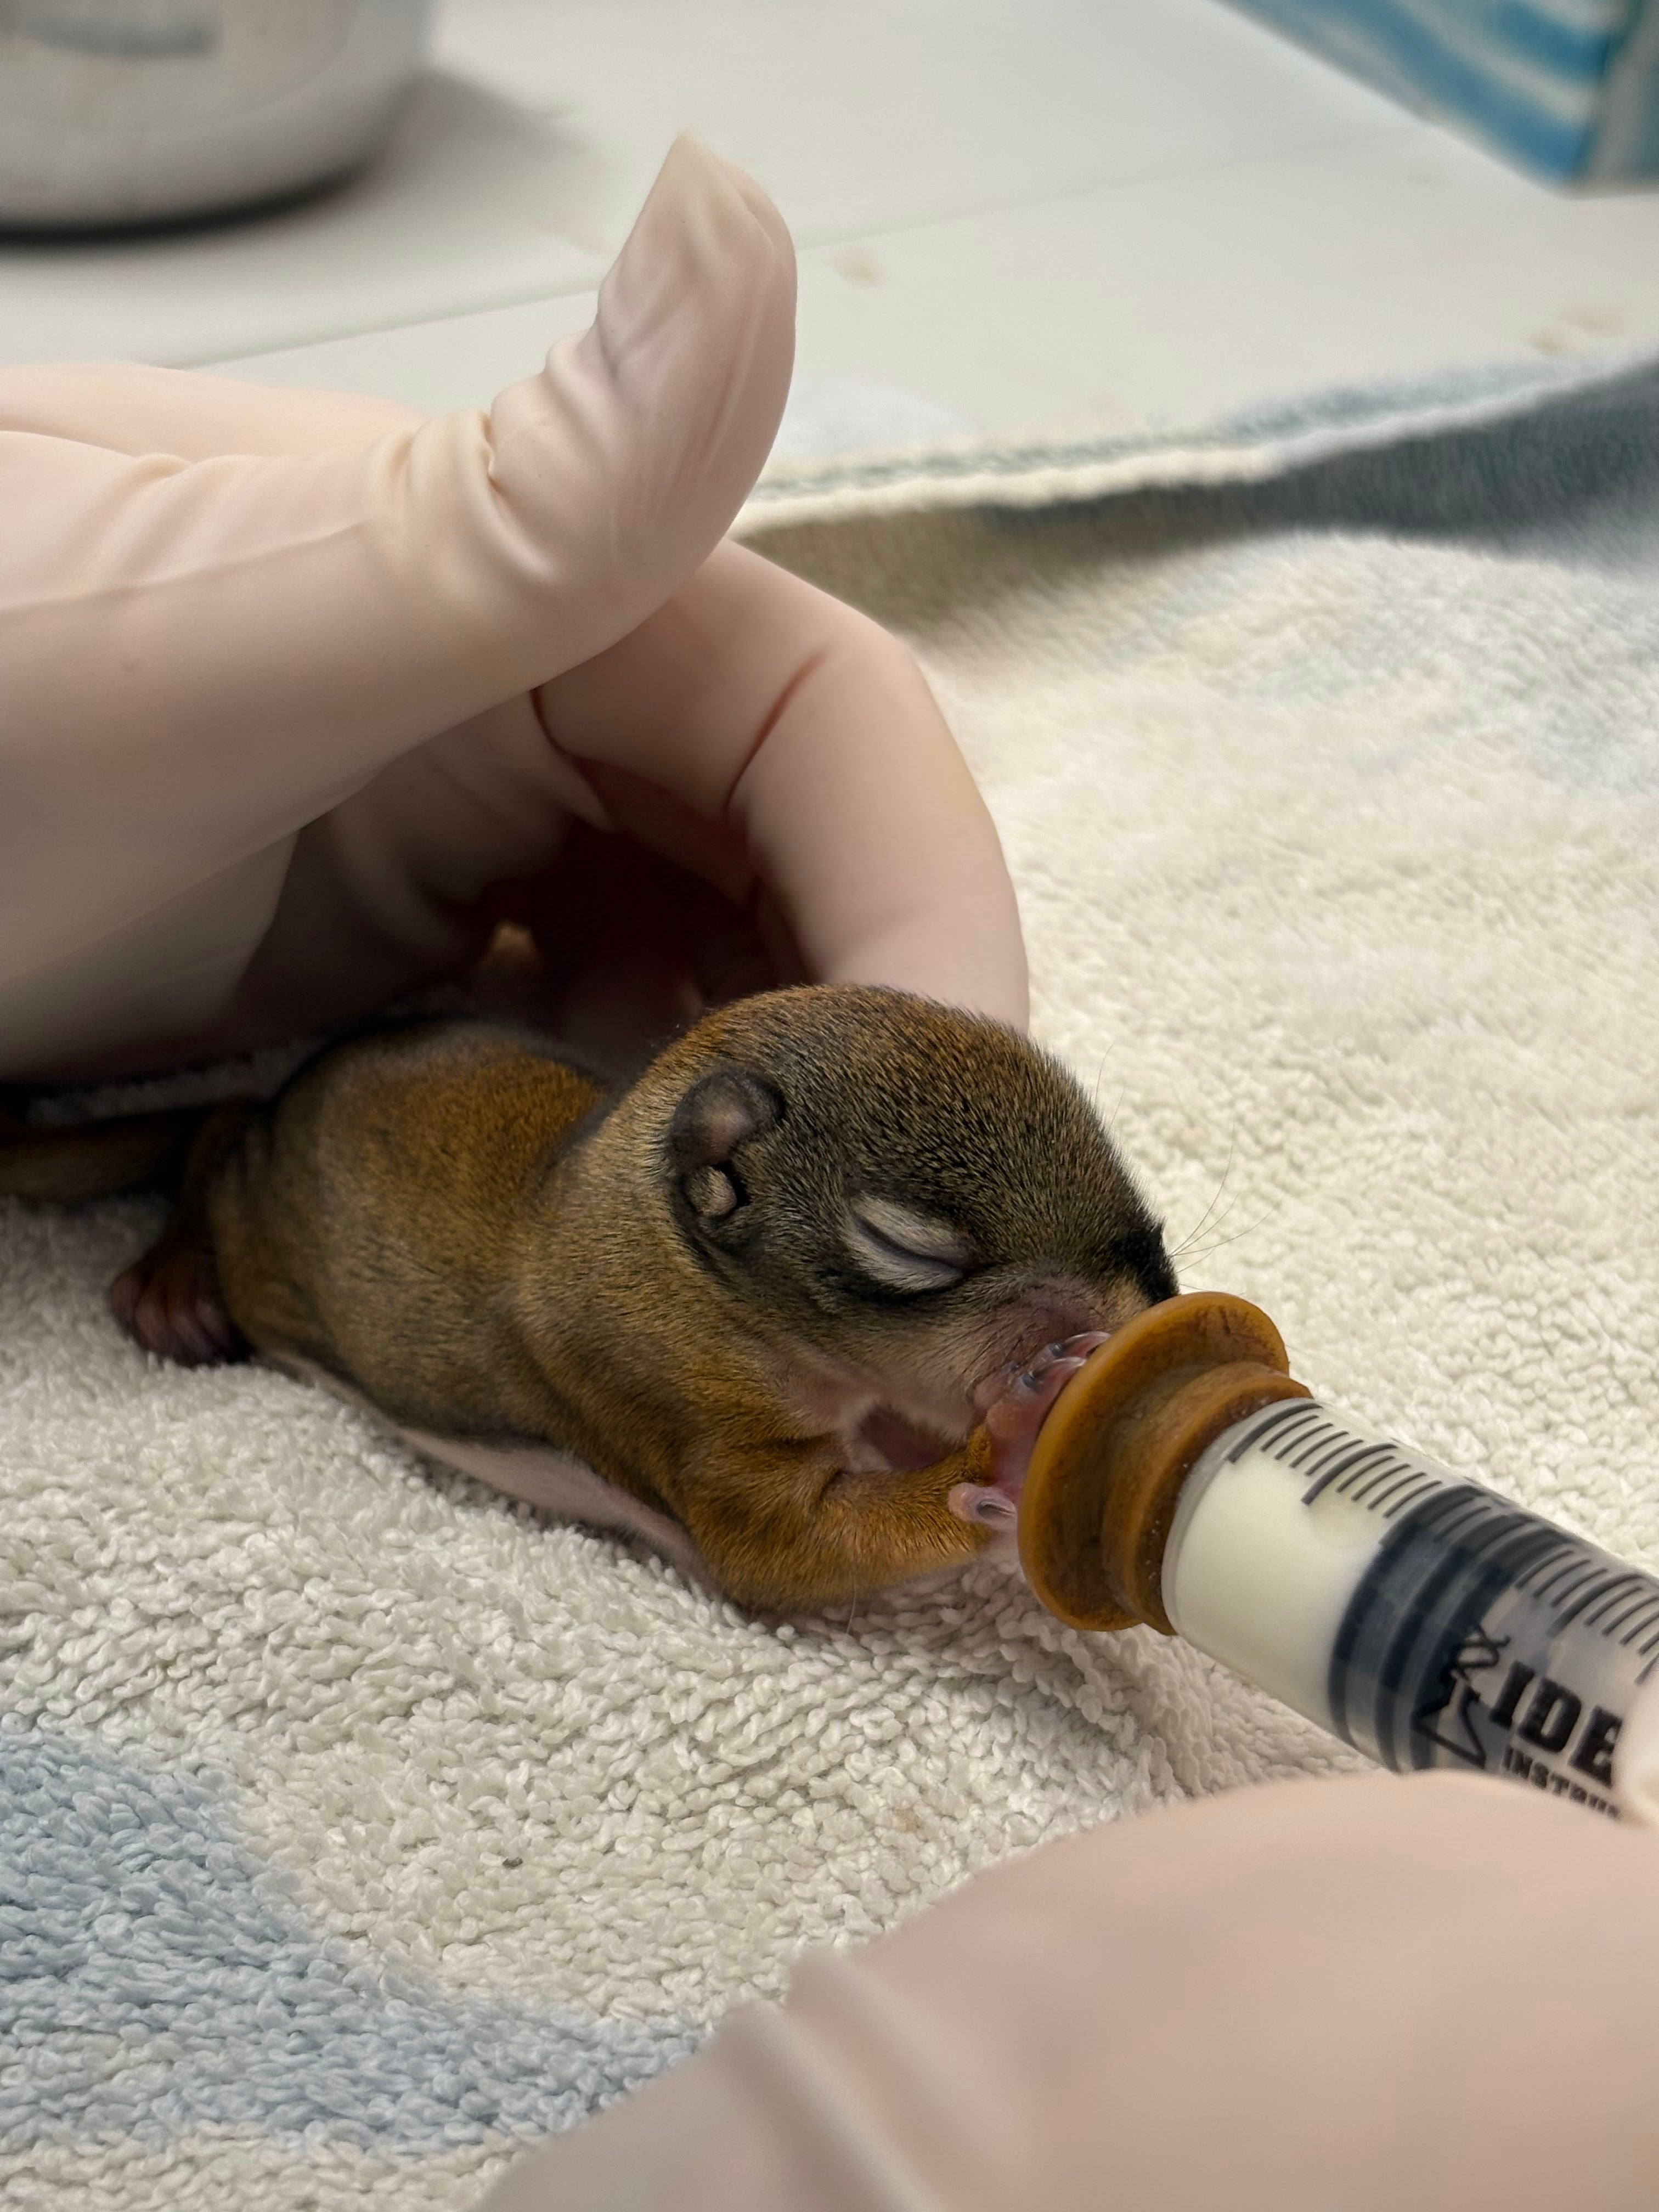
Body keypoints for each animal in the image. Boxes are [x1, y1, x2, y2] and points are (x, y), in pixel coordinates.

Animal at [0, 986, 1176, 1612]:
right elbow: (781, 1550)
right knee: (210, 1133)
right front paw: (1013, 1451)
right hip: (248, 1207)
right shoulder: (675, 1405)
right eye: (908, 1245)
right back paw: (174, 1276)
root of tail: (290, 1103)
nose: (1151, 1299)